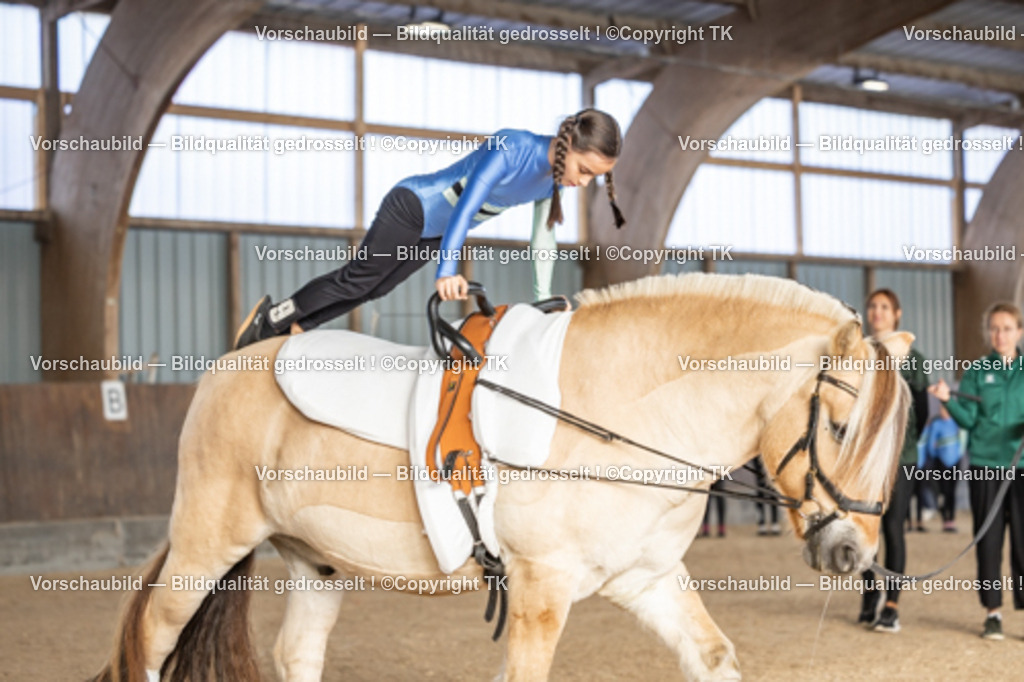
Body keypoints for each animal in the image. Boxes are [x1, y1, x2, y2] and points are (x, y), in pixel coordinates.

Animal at [91, 272, 912, 682]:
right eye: (841, 427)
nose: (854, 553)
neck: (616, 410)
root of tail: (234, 358)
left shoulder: (645, 577)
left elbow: (711, 659)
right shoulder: (541, 589)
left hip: (315, 562)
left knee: (297, 655)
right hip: (208, 543)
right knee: (153, 639)